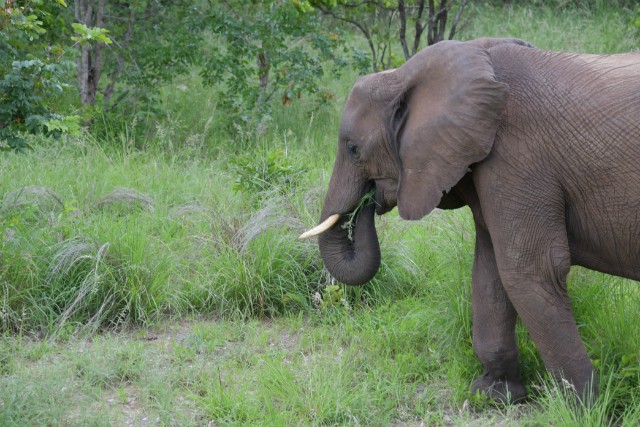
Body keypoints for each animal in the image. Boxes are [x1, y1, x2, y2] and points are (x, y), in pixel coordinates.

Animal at [300, 36, 640, 404]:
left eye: (353, 149)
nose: (369, 199)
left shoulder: (517, 156)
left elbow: (530, 268)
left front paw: (584, 407)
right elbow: (490, 269)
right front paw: (495, 395)